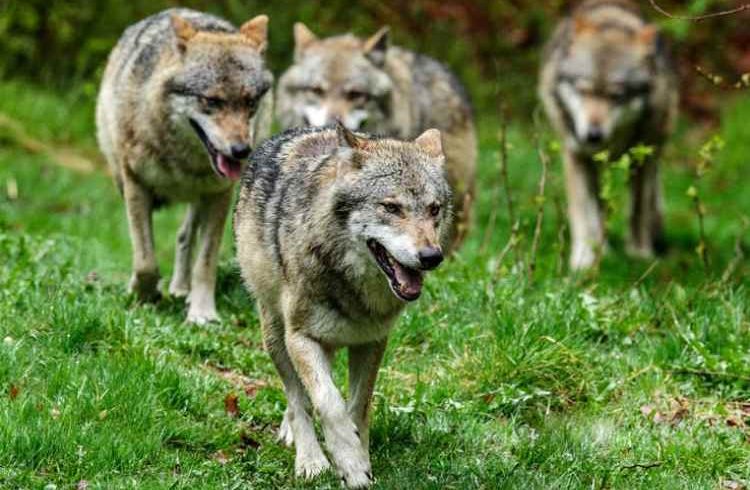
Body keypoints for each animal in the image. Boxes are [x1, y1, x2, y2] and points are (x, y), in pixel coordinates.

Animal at [96, 8, 273, 323]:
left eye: (250, 103)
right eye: (211, 101)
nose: (241, 151)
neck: (184, 162)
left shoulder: (220, 194)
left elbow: (205, 262)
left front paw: (202, 312)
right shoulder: (136, 184)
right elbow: (145, 261)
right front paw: (144, 295)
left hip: (201, 199)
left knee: (184, 236)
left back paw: (181, 289)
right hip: (122, 179)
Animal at [233, 122, 451, 488]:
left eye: (434, 209)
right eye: (391, 207)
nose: (431, 257)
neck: (352, 290)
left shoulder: (372, 341)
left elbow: (358, 407)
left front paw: (360, 458)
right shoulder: (301, 338)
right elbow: (329, 403)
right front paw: (348, 463)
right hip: (276, 335)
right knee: (297, 399)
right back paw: (309, 460)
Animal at [539, 0, 678, 270]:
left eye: (616, 96)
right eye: (583, 90)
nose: (593, 135)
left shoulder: (641, 158)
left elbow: (638, 209)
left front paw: (640, 254)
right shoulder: (575, 155)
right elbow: (583, 212)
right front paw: (583, 258)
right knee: (598, 207)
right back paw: (602, 247)